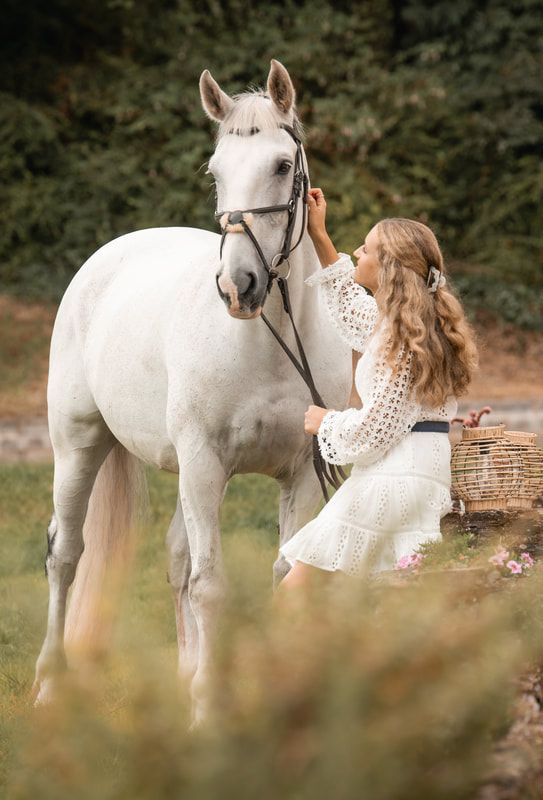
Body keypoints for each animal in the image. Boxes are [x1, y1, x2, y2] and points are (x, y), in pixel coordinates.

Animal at [33, 59, 352, 724]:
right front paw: (207, 714)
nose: (238, 286)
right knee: (65, 554)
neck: (266, 341)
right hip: (78, 447)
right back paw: (50, 686)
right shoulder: (205, 465)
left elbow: (283, 571)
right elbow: (211, 586)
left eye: (281, 165)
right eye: (216, 172)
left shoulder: (299, 473)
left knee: (176, 558)